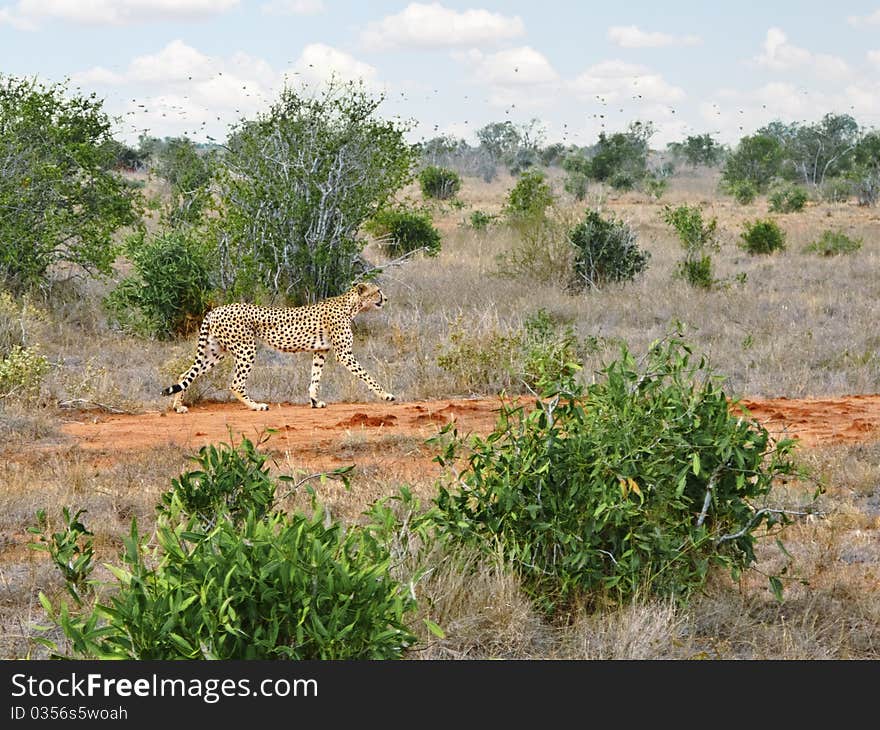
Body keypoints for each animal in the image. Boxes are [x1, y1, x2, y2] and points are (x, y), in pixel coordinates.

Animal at [163, 282, 398, 412]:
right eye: (377, 290)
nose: (386, 298)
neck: (351, 305)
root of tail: (216, 310)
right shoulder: (344, 353)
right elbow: (367, 375)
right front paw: (386, 395)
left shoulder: (320, 351)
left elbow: (315, 378)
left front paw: (314, 401)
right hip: (246, 348)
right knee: (236, 383)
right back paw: (256, 406)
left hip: (216, 351)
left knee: (185, 374)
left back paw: (177, 406)